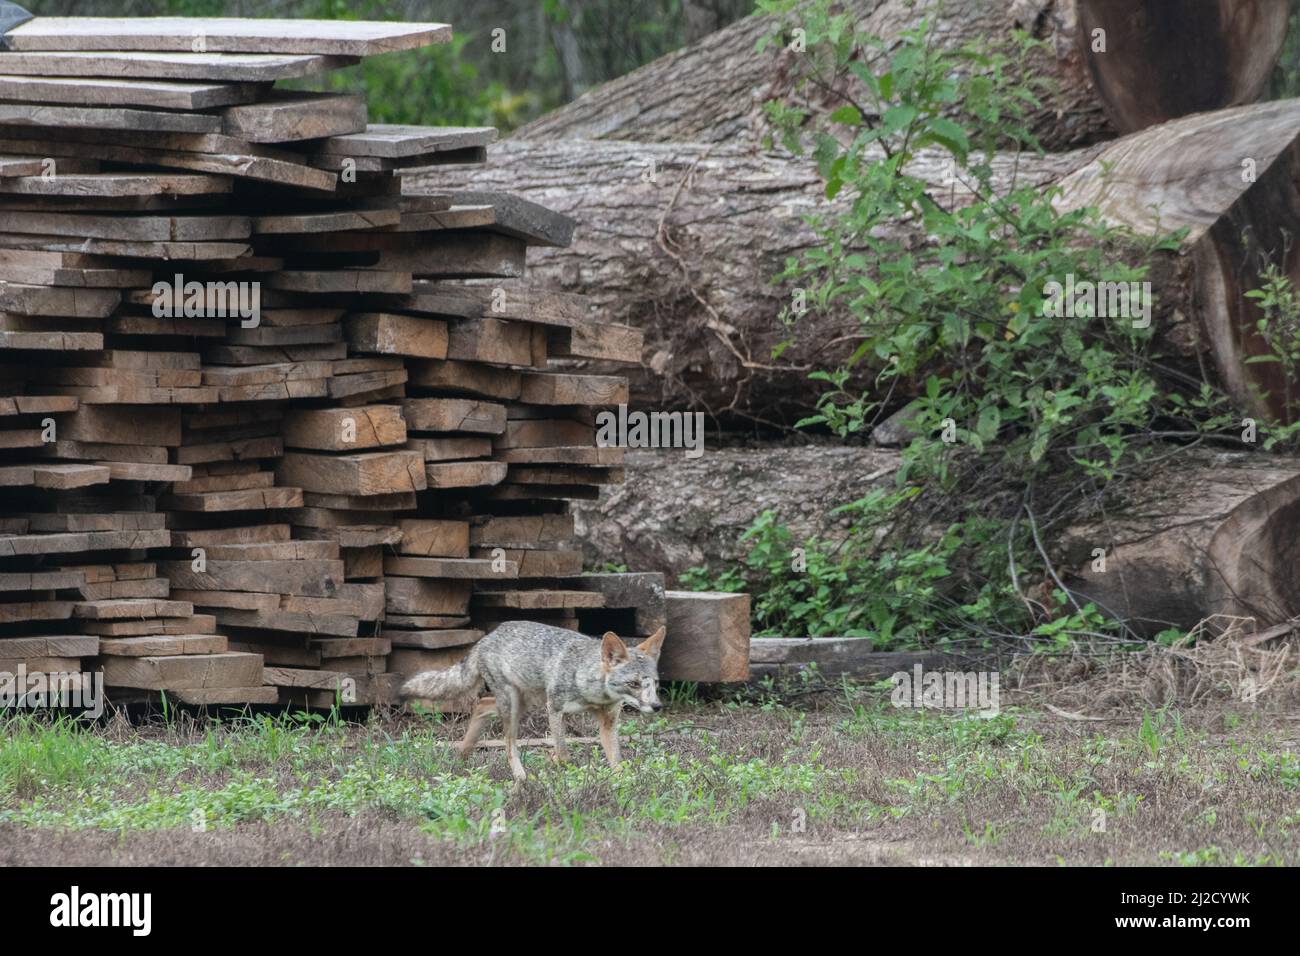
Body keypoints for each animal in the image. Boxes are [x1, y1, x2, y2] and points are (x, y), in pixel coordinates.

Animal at [397, 621, 665, 785]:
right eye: (633, 684)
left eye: (654, 683)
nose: (657, 707)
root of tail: (487, 637)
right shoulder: (554, 708)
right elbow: (564, 754)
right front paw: (553, 761)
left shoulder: (608, 723)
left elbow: (617, 763)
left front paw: (624, 784)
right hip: (515, 707)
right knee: (508, 745)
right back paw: (520, 777)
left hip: (521, 703)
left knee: (482, 705)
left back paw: (462, 756)